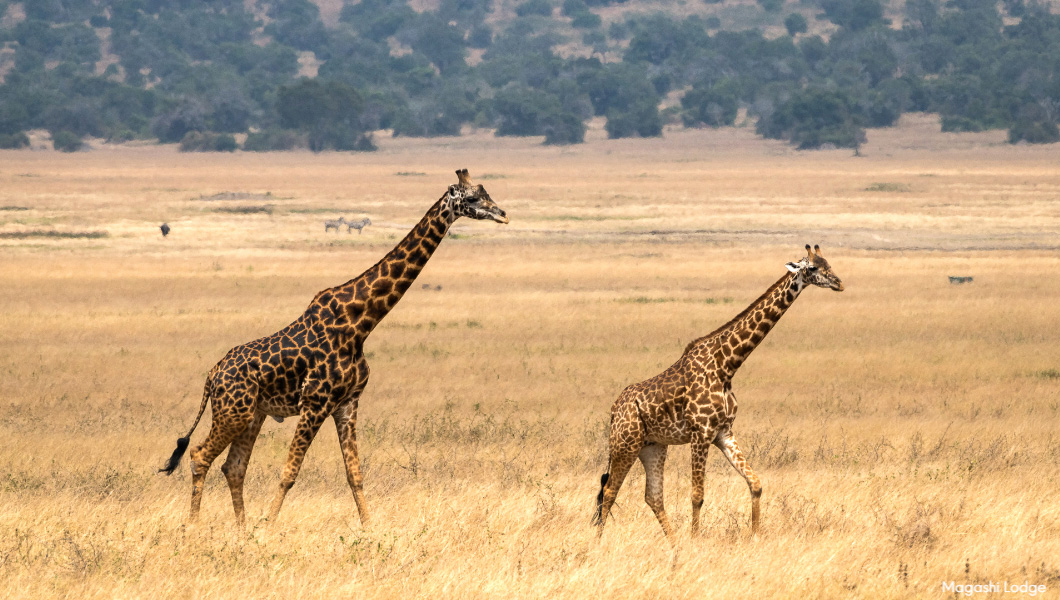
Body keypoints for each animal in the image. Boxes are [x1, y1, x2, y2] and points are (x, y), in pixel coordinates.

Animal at [157, 168, 508, 525]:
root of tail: (212, 375)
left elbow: (355, 474)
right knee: (199, 455)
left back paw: (240, 529)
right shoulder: (316, 402)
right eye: (472, 198)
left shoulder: (347, 403)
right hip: (232, 412)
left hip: (252, 414)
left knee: (233, 467)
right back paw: (194, 526)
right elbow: (289, 472)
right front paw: (268, 528)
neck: (361, 323)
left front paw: (368, 529)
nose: (503, 214)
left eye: (486, 193)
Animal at [593, 246, 839, 542]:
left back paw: (673, 544)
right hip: (625, 444)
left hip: (652, 446)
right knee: (609, 491)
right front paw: (696, 540)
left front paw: (755, 536)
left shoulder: (724, 432)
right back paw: (599, 544)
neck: (727, 365)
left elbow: (755, 483)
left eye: (829, 263)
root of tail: (614, 409)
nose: (839, 283)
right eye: (812, 268)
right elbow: (697, 495)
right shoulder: (701, 433)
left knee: (653, 497)